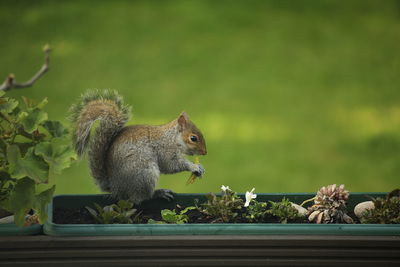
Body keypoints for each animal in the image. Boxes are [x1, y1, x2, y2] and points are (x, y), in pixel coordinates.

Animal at [69, 89, 206, 204]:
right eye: (193, 138)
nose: (205, 152)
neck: (172, 138)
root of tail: (115, 187)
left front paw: (200, 167)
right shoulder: (165, 150)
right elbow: (172, 165)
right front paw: (193, 166)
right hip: (144, 175)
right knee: (140, 198)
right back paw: (158, 193)